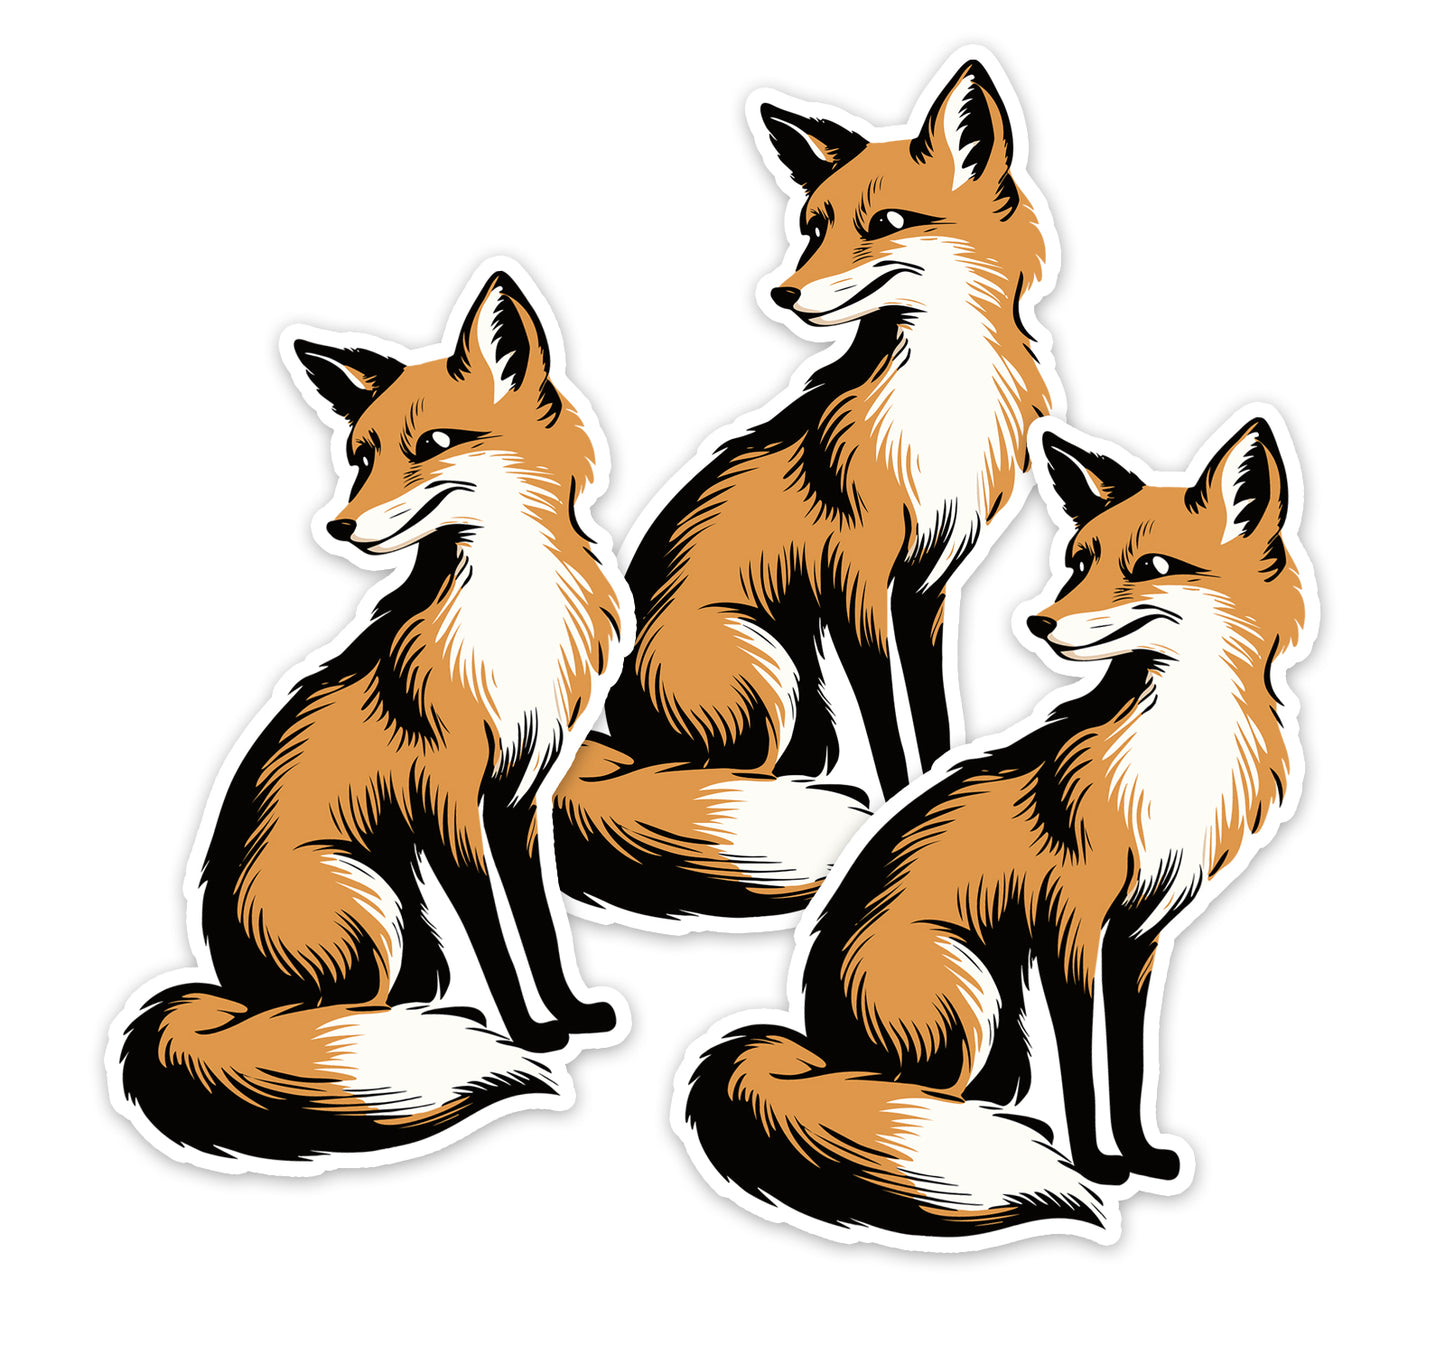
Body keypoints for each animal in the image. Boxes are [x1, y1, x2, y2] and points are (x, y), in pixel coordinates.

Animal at [108, 265, 630, 1172]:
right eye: (360, 456)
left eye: (433, 443)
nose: (338, 526)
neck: (514, 614)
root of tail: (225, 984)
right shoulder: (450, 803)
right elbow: (496, 939)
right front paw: (532, 1032)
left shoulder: (519, 801)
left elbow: (537, 923)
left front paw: (568, 1011)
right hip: (372, 899)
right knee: (318, 1020)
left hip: (407, 920)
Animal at [554, 49, 1061, 930]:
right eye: (813, 228)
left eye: (886, 221)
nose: (782, 294)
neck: (941, 400)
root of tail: (608, 729)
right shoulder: (855, 587)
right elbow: (889, 731)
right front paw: (893, 809)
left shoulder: (925, 591)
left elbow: (930, 717)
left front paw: (932, 788)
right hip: (767, 671)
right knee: (702, 777)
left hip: (803, 697)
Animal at [676, 406, 1317, 1249]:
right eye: (1077, 561)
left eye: (1149, 565)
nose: (1038, 622)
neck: (1177, 749)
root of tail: (811, 1035)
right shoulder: (1068, 932)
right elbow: (1081, 1068)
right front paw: (1099, 1163)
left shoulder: (1138, 937)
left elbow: (1128, 1061)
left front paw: (1141, 1154)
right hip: (971, 990)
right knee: (891, 1094)